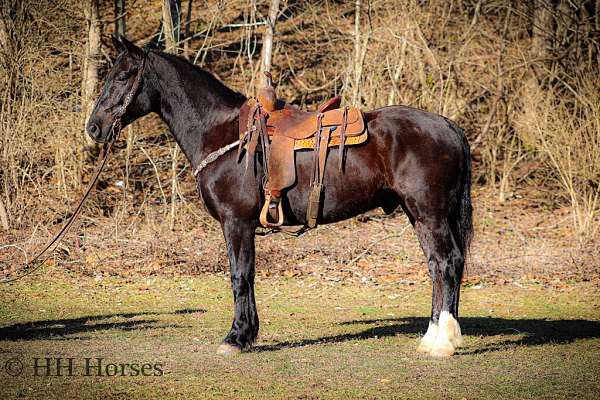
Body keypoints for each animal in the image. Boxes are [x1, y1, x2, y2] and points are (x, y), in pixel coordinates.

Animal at [86, 36, 472, 356]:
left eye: (124, 76)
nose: (94, 127)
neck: (224, 134)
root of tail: (447, 125)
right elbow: (248, 276)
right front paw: (247, 333)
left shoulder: (236, 223)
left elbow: (240, 276)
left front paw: (236, 337)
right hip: (419, 215)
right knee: (438, 265)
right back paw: (432, 337)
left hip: (429, 214)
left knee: (446, 262)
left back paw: (442, 342)